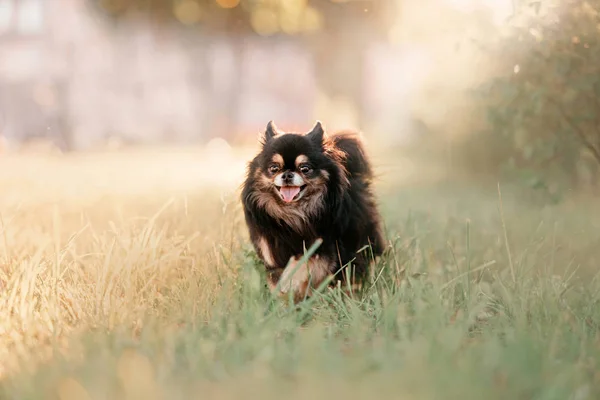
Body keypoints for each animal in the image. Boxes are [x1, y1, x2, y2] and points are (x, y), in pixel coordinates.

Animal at [239, 120, 384, 302]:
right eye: (274, 168)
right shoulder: (272, 252)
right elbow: (277, 277)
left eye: (305, 168)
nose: (287, 175)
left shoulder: (323, 248)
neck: (293, 214)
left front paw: (291, 283)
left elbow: (303, 264)